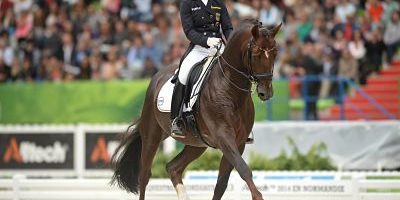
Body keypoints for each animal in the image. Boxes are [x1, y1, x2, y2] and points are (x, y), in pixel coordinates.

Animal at [110, 20, 282, 200]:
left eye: (275, 52)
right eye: (256, 53)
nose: (265, 92)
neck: (230, 89)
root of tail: (156, 77)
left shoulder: (239, 141)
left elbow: (222, 183)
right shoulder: (224, 137)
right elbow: (244, 169)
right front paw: (258, 196)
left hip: (196, 143)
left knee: (173, 167)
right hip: (152, 136)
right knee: (144, 175)